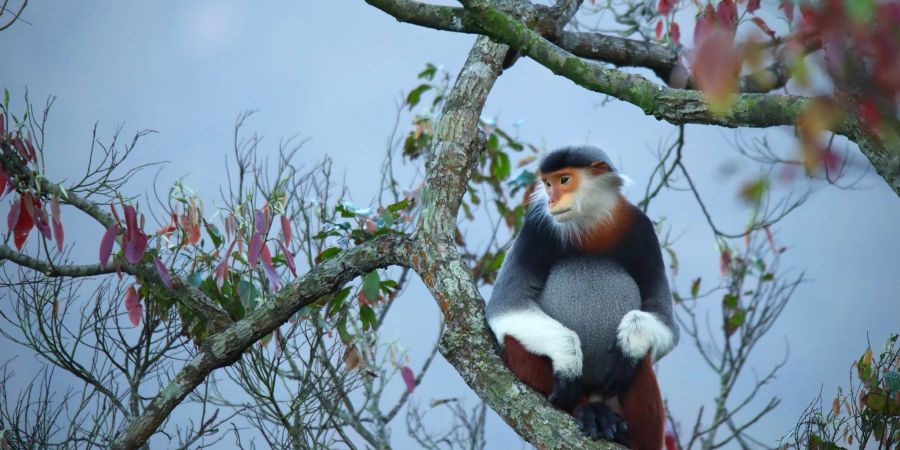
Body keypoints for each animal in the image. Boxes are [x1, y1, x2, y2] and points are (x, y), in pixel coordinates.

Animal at [488, 146, 680, 448]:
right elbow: (505, 306)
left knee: (641, 360)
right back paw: (588, 412)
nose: (552, 199)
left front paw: (628, 344)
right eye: (547, 183)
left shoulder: (643, 229)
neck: (591, 223)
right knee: (515, 338)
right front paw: (569, 362)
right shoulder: (536, 228)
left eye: (564, 180)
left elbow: (666, 324)